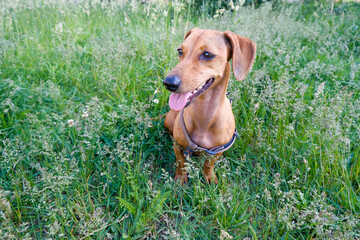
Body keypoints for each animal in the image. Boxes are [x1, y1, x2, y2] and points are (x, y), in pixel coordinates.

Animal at [163, 27, 256, 183]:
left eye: (207, 54)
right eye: (180, 51)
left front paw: (209, 178)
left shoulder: (216, 152)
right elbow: (181, 163)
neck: (204, 115)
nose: (168, 83)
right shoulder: (177, 145)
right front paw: (180, 178)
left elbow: (208, 164)